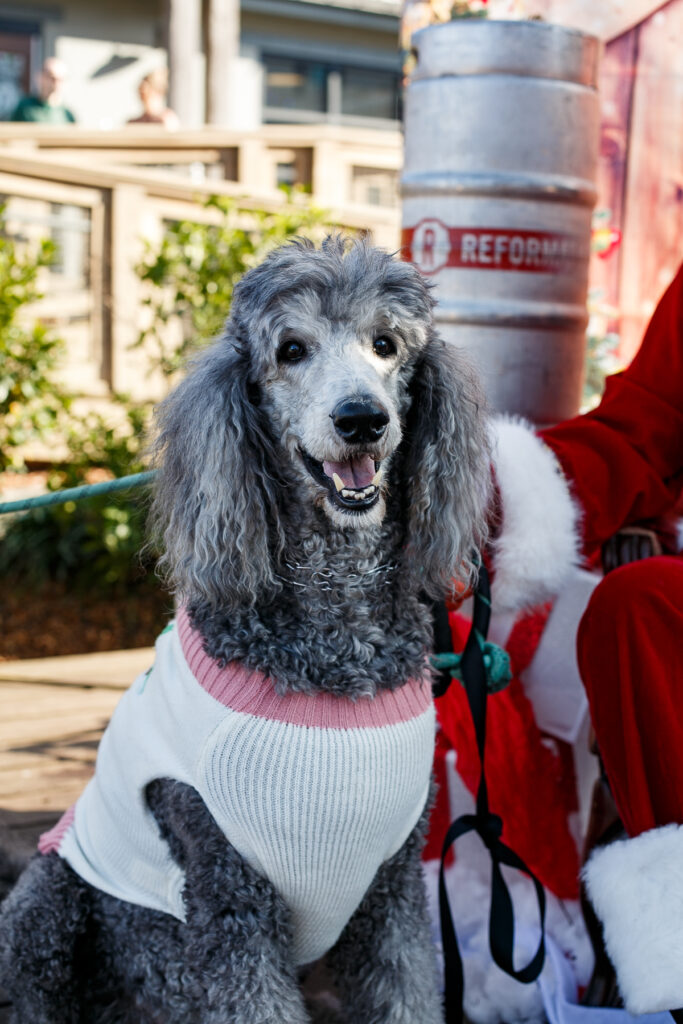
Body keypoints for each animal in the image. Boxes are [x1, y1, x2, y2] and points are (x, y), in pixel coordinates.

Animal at [0, 236, 490, 1023]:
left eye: (386, 344)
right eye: (290, 350)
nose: (362, 418)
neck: (336, 650)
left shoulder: (392, 891)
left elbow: (406, 986)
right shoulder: (230, 899)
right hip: (45, 898)